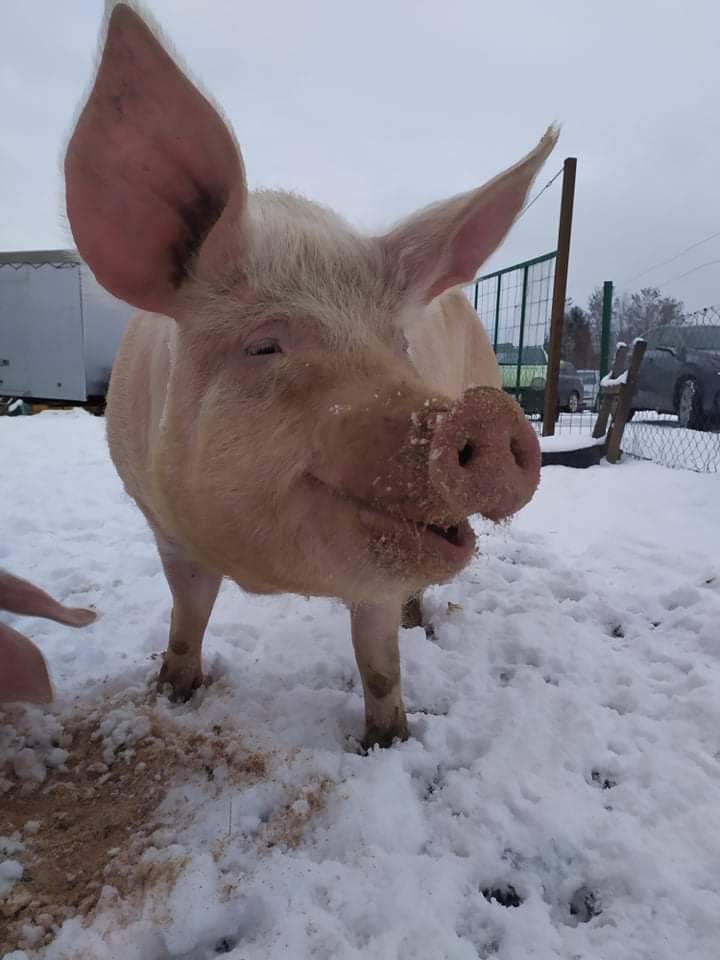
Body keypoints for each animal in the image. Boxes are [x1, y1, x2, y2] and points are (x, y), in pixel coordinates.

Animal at [63, 1, 556, 752]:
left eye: (399, 343)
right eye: (265, 345)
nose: (481, 413)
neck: (265, 573)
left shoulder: (374, 573)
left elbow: (377, 658)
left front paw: (388, 743)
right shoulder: (162, 523)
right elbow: (188, 610)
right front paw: (173, 692)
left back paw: (417, 621)